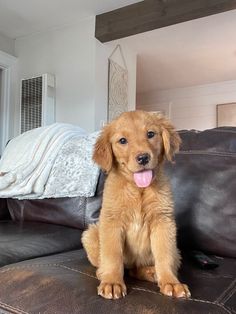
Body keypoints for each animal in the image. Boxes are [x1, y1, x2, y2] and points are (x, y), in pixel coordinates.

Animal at [82, 110, 191, 300]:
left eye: (150, 134)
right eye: (122, 140)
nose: (143, 158)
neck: (138, 189)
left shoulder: (163, 222)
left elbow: (164, 255)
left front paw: (171, 282)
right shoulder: (111, 222)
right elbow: (112, 255)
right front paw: (112, 282)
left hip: (177, 252)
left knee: (137, 269)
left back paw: (151, 272)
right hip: (91, 234)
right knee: (116, 265)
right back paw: (103, 273)